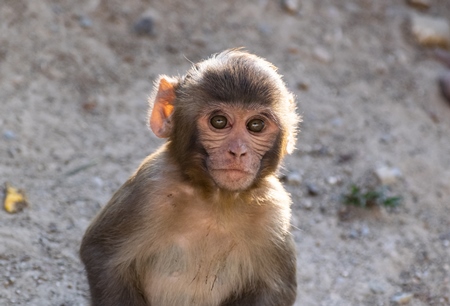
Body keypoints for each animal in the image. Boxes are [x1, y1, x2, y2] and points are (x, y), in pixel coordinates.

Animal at [79, 49, 300, 304]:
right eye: (219, 121)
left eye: (256, 125)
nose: (238, 151)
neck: (217, 198)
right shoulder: (149, 189)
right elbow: (103, 257)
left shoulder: (274, 212)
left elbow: (275, 288)